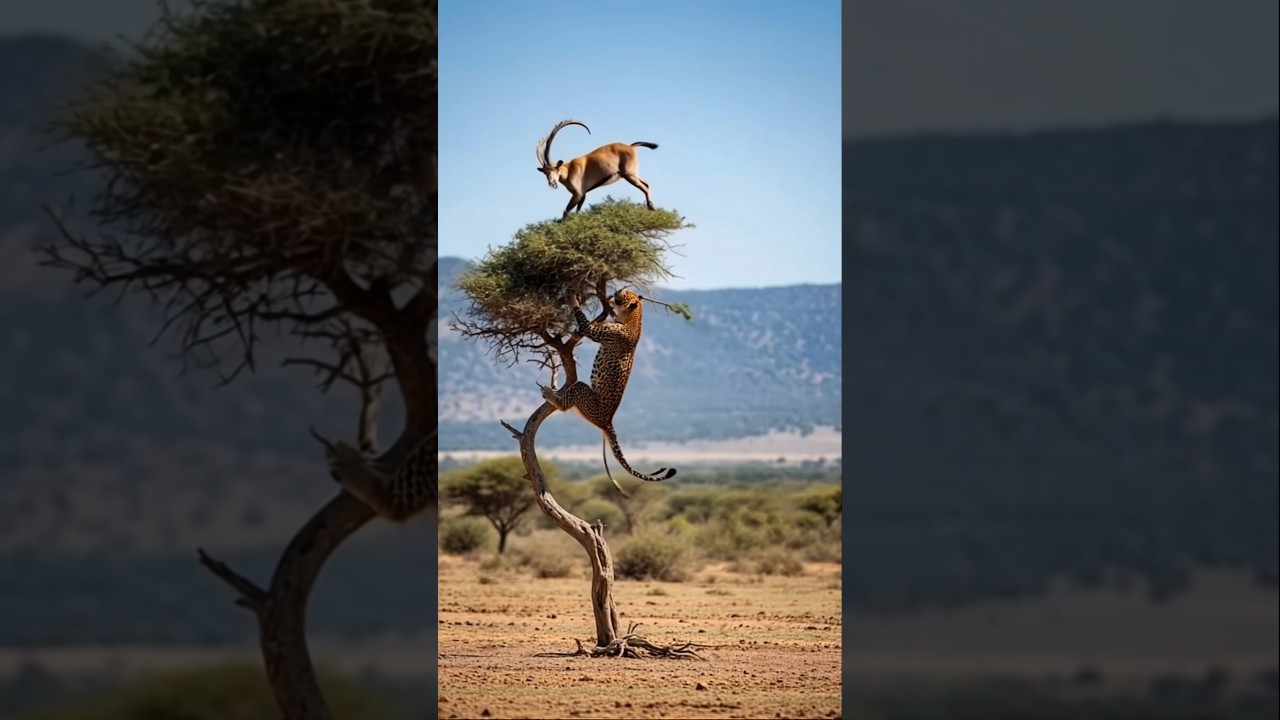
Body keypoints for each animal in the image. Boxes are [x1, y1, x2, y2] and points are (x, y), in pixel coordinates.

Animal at [539, 288, 677, 497]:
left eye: (624, 294)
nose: (617, 290)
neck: (633, 318)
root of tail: (607, 421)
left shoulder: (598, 332)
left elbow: (584, 322)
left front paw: (573, 299)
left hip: (582, 390)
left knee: (567, 402)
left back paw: (551, 395)